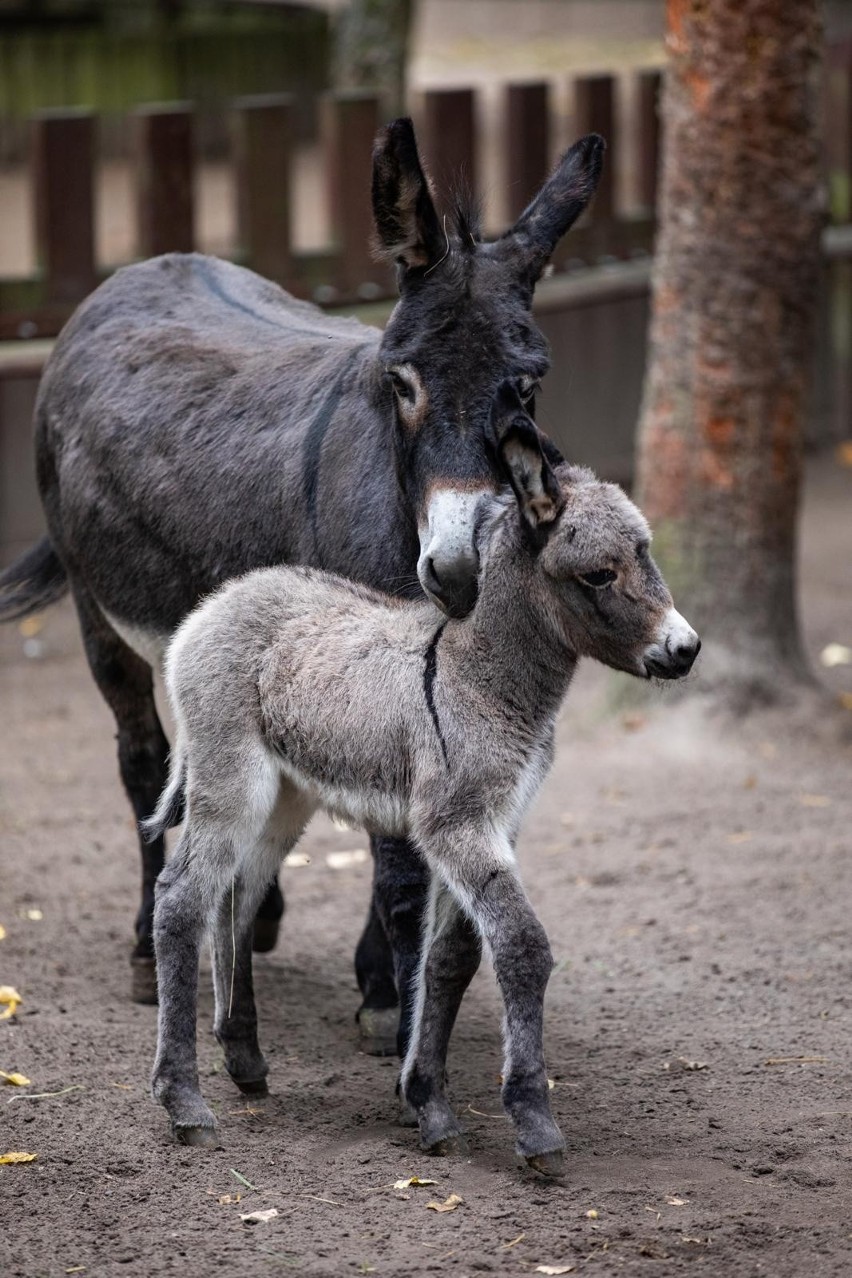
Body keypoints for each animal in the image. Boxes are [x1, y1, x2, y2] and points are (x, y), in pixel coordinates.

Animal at [146, 442, 699, 1175]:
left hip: (286, 796)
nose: (686, 649)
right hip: (229, 781)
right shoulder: (455, 825)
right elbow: (521, 945)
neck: (480, 675)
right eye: (599, 574)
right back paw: (184, 1102)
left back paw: (244, 1061)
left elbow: (450, 959)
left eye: (646, 553)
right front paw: (535, 1124)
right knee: (181, 900)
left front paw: (429, 1104)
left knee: (235, 899)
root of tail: (215, 605)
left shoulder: (496, 823)